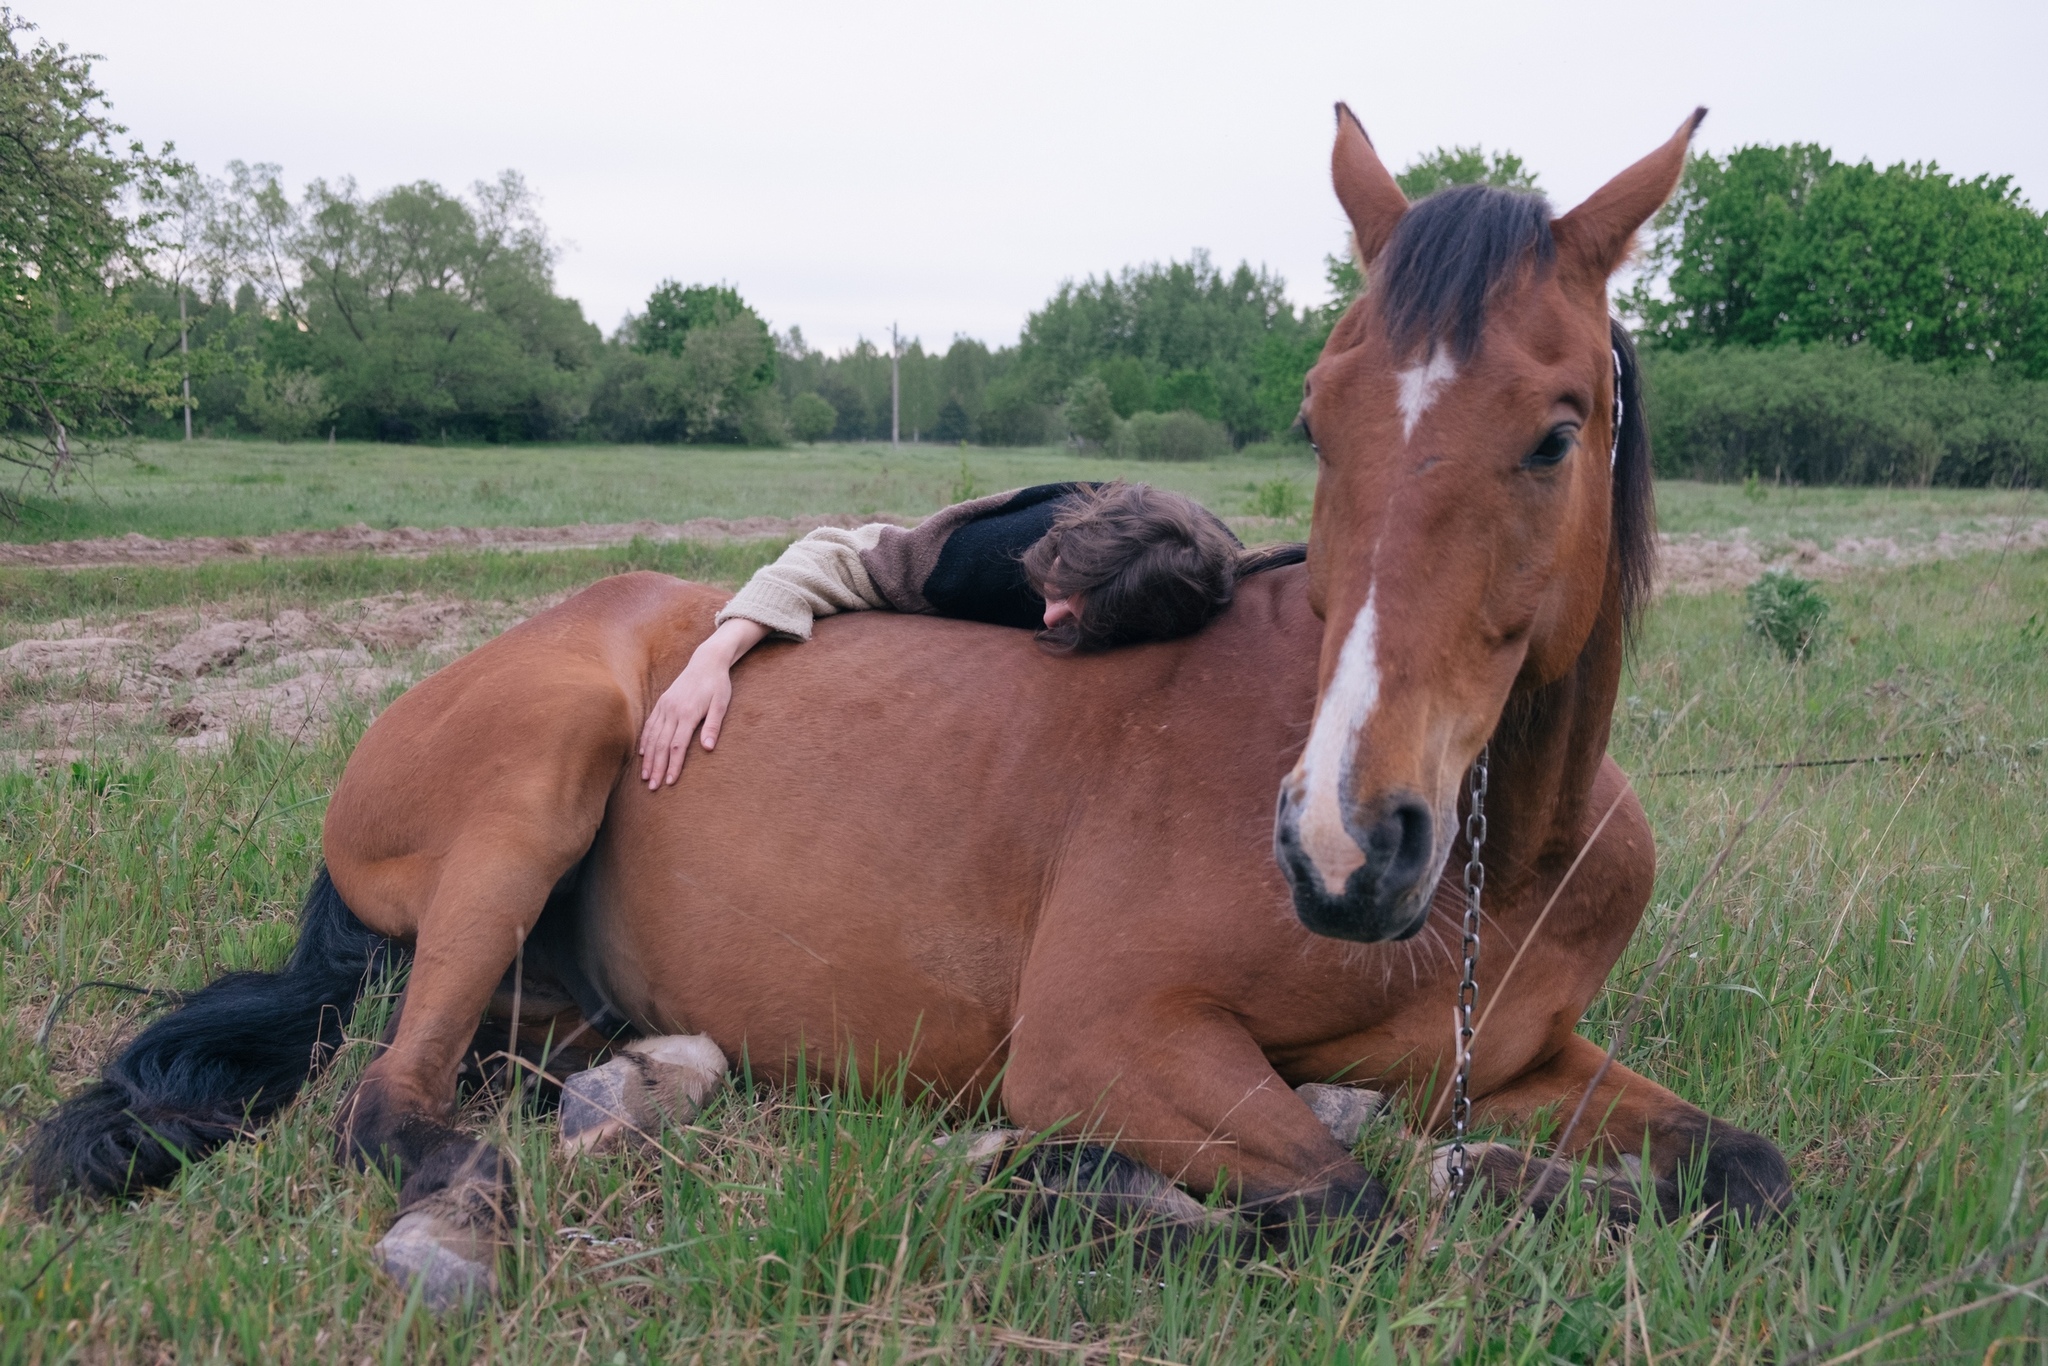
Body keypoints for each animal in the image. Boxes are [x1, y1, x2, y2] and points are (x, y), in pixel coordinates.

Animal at [32, 104, 1794, 1302]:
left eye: (1556, 430)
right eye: (1320, 414)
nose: (1343, 847)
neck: (1503, 866)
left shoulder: (1526, 1061)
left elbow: (1745, 1168)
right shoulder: (1104, 1040)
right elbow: (1345, 1201)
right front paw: (1040, 1173)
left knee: (517, 1061)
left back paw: (646, 1084)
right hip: (551, 766)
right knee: (395, 1105)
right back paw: (469, 1217)